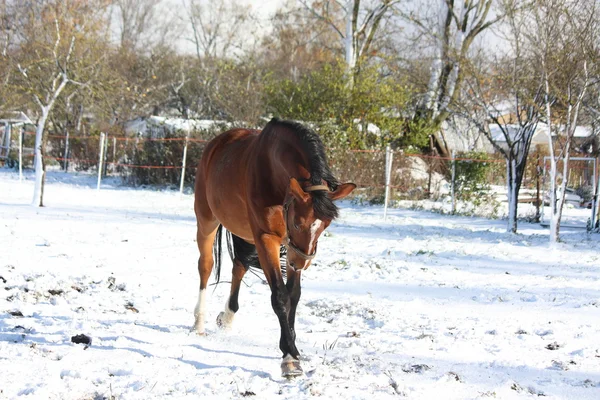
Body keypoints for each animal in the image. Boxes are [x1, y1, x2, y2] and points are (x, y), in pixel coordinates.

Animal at [192, 117, 354, 376]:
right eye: (297, 223)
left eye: (326, 226)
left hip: (247, 235)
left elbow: (294, 295)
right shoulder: (267, 239)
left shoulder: (287, 247)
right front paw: (289, 356)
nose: (302, 263)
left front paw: (292, 342)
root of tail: (216, 144)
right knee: (206, 266)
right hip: (207, 221)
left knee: (239, 266)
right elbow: (279, 296)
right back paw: (198, 322)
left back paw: (227, 316)